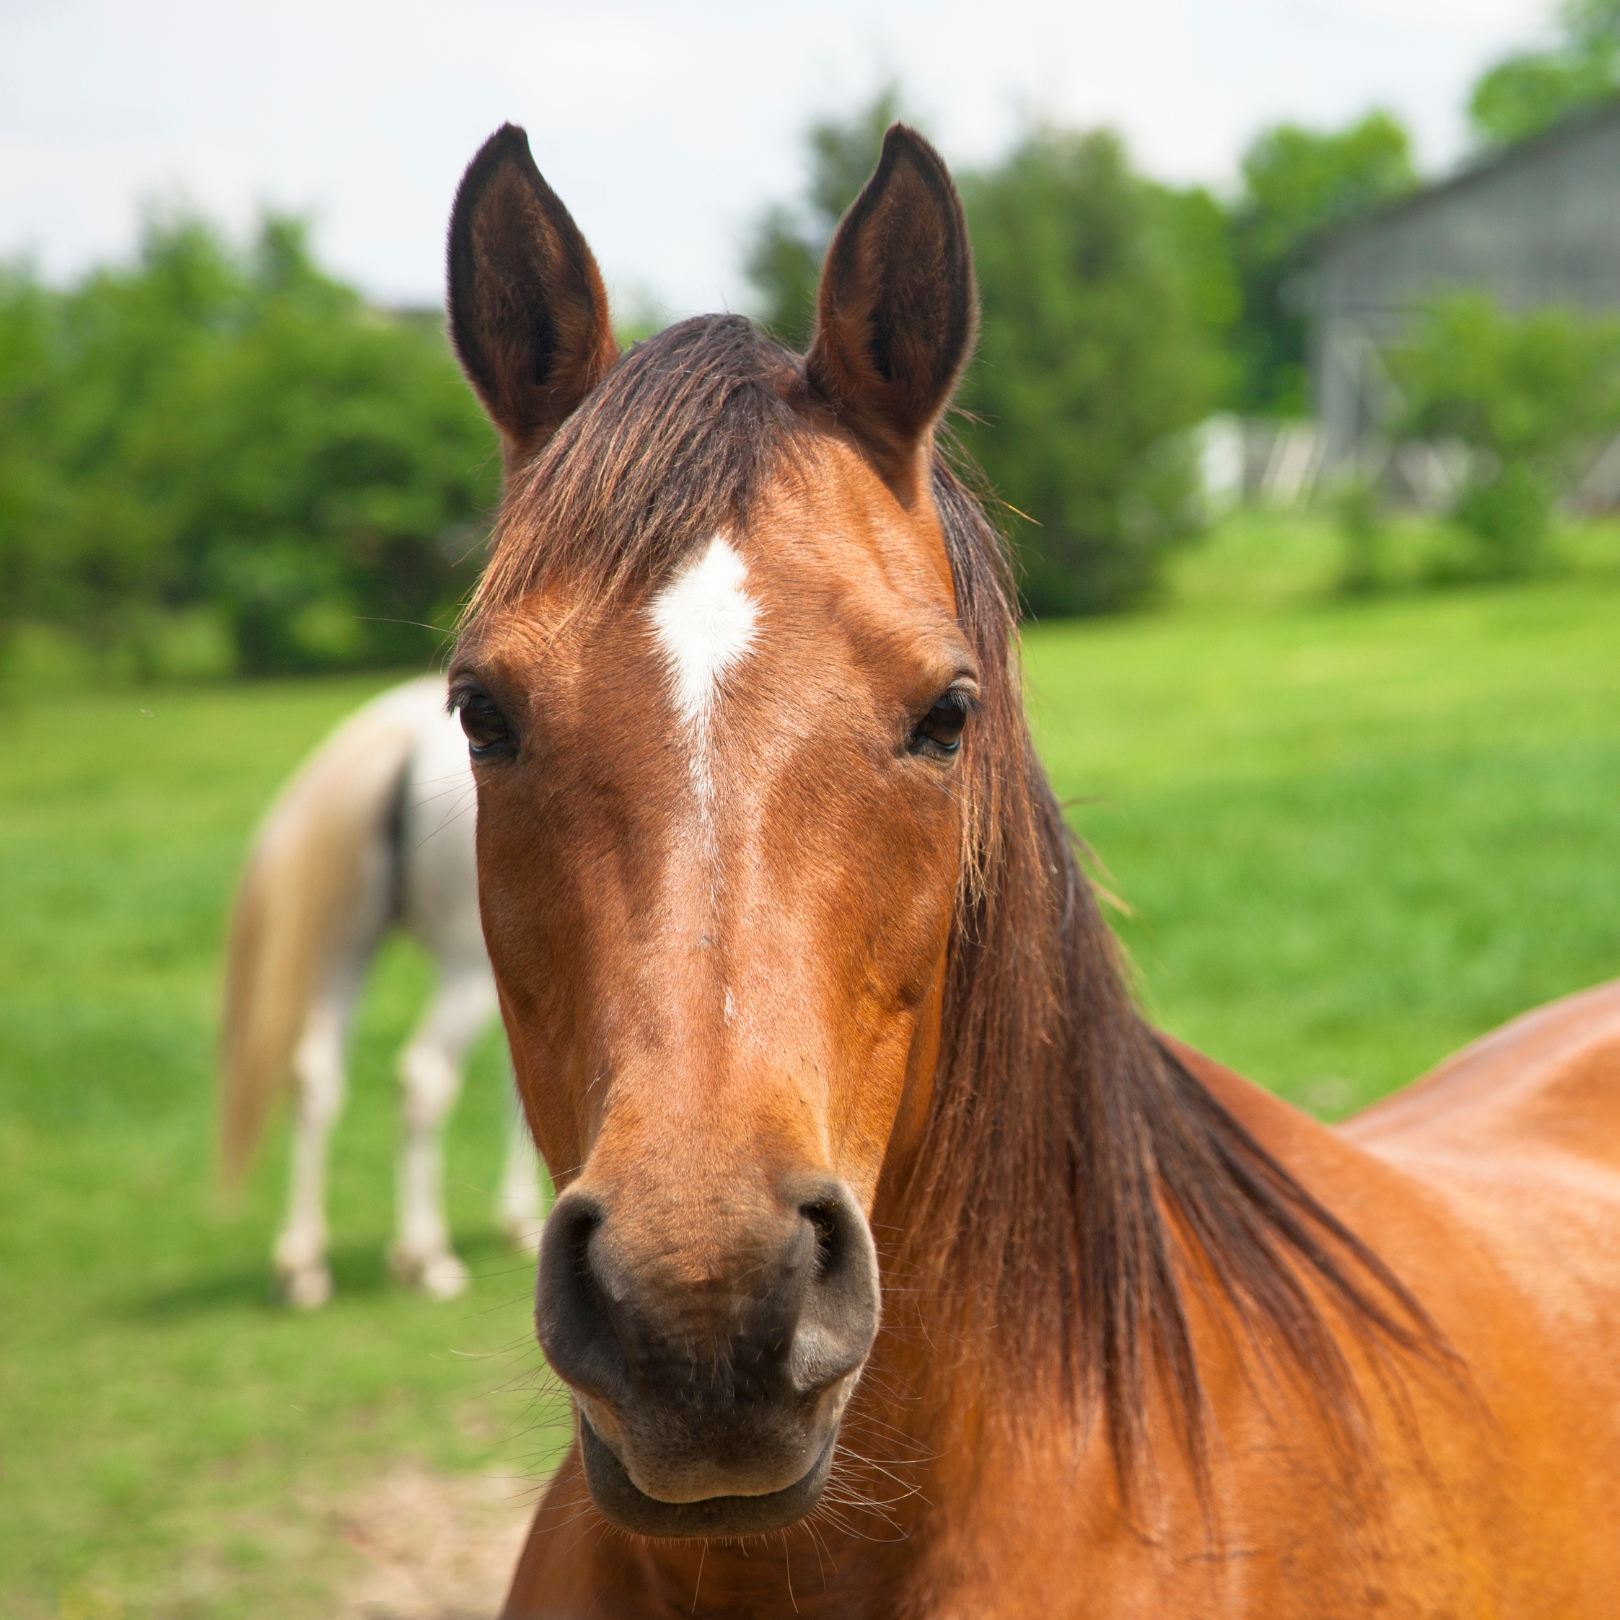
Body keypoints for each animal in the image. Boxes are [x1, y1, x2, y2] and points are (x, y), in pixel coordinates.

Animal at [215, 677, 547, 1308]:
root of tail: (399, 734)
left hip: (346, 950)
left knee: (315, 1076)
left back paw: (303, 1266)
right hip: (465, 964)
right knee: (423, 1077)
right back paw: (426, 1257)